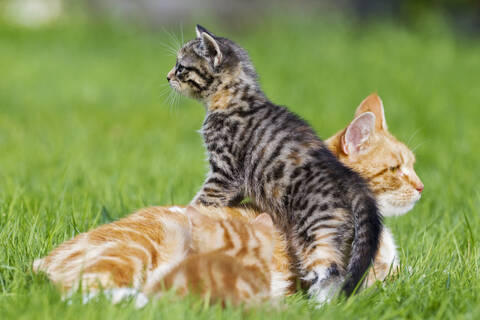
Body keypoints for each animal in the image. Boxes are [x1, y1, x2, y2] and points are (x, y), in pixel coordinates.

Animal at [33, 94, 422, 304]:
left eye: (414, 165)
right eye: (395, 168)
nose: (420, 187)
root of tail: (44, 259)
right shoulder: (359, 282)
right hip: (131, 254)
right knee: (86, 294)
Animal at [169, 25, 382, 300]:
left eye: (181, 67)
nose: (167, 76)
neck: (233, 99)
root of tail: (350, 179)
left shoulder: (224, 172)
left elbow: (203, 199)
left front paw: (185, 215)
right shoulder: (235, 185)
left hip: (316, 228)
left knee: (329, 272)